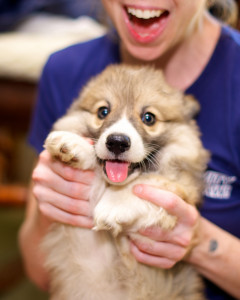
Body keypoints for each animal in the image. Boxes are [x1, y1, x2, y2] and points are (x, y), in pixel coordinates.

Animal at [44, 64, 209, 298]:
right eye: (103, 112)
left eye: (149, 118)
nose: (117, 142)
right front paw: (73, 144)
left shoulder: (177, 196)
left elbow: (150, 182)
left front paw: (113, 205)